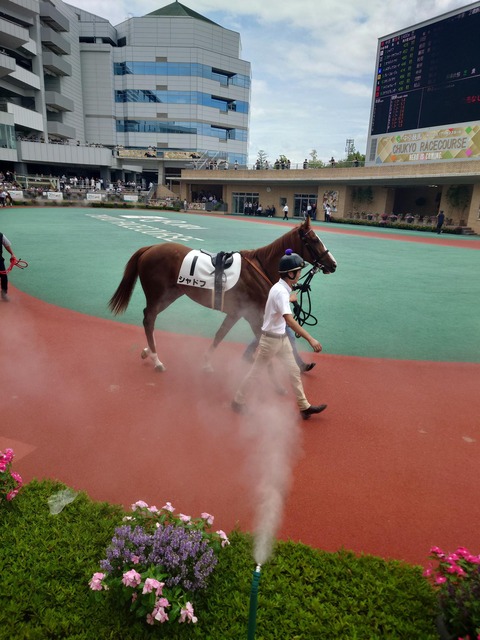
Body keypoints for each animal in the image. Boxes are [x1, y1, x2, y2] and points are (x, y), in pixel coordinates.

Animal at [108, 216, 337, 372]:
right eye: (314, 239)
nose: (333, 264)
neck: (260, 268)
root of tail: (150, 248)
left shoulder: (237, 313)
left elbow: (221, 335)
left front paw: (207, 362)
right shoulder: (251, 314)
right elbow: (261, 339)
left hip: (171, 294)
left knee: (150, 318)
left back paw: (148, 351)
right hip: (159, 294)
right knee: (149, 319)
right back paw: (156, 359)